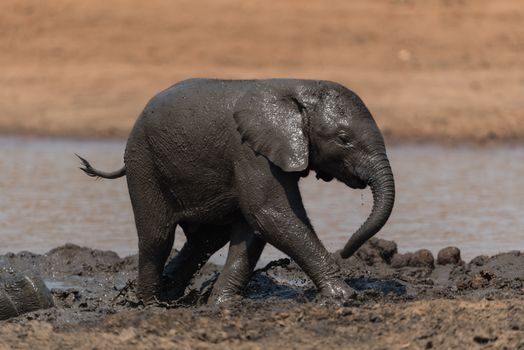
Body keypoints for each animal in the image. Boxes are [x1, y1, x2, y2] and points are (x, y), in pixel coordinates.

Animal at [80, 78, 396, 304]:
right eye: (343, 139)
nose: (345, 250)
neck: (298, 88)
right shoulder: (250, 152)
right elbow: (270, 214)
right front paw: (345, 295)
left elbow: (253, 227)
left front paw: (223, 303)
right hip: (143, 161)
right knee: (157, 237)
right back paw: (149, 304)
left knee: (206, 240)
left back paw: (171, 295)